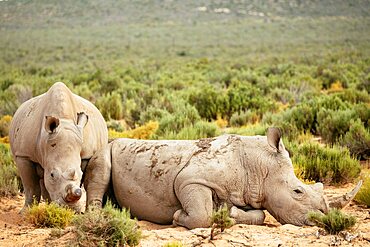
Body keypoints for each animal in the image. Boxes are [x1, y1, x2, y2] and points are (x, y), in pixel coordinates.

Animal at [9, 81, 107, 212]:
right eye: (52, 175)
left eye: (81, 174)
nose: (69, 208)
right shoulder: (23, 154)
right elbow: (30, 186)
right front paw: (26, 212)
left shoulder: (86, 155)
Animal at [84, 128, 362, 229]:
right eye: (298, 191)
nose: (322, 218)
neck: (259, 166)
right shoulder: (191, 180)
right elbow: (201, 214)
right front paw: (177, 217)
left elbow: (260, 215)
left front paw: (230, 213)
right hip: (106, 148)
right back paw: (102, 215)